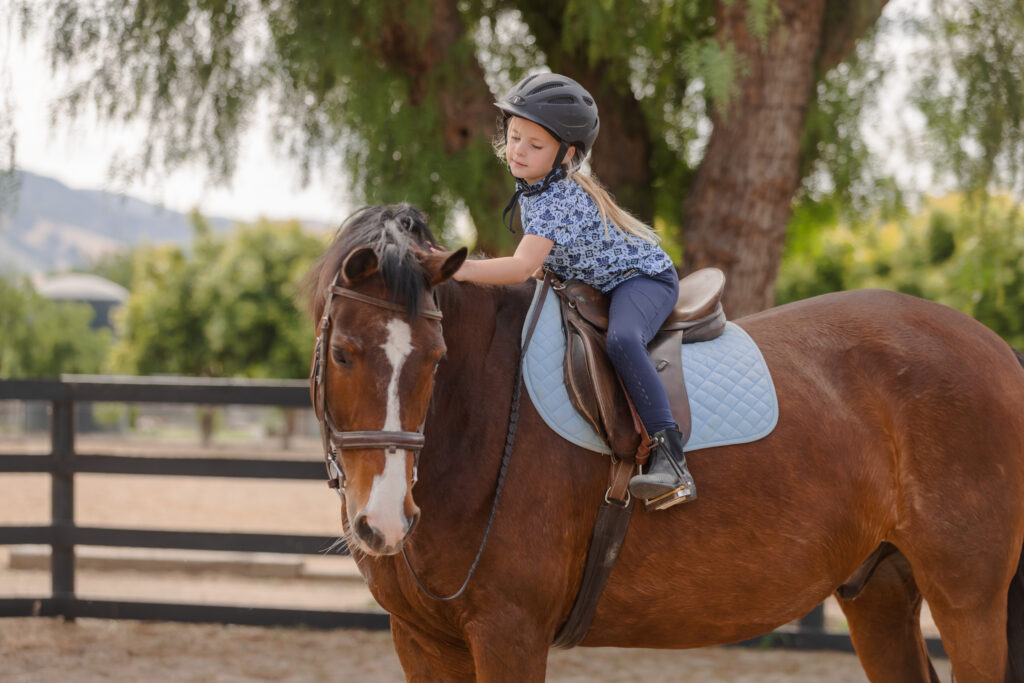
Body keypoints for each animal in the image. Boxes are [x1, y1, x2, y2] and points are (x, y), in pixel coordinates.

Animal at [306, 203, 1024, 683]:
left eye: (435, 357)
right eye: (342, 354)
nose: (385, 521)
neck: (479, 419)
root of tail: (996, 350)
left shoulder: (509, 633)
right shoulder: (422, 641)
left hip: (968, 601)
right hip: (878, 592)